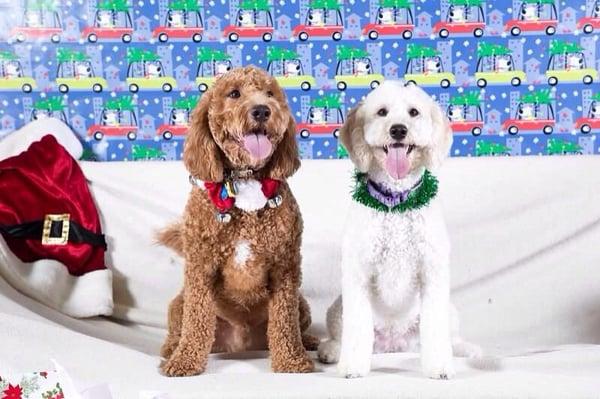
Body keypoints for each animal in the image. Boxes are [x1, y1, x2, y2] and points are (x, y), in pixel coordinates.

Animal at [158, 66, 318, 378]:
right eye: (234, 94)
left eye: (270, 94)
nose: (262, 110)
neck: (245, 180)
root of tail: (241, 345)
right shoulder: (201, 268)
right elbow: (196, 322)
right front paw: (185, 362)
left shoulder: (285, 267)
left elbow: (284, 322)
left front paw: (291, 362)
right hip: (178, 304)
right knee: (180, 327)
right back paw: (171, 349)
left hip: (303, 304)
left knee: (296, 323)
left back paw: (309, 341)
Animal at [316, 81, 480, 382]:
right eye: (382, 112)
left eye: (413, 112)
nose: (398, 130)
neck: (396, 202)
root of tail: (393, 344)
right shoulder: (358, 275)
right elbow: (356, 330)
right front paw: (352, 367)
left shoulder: (432, 273)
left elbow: (436, 331)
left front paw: (439, 367)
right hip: (337, 307)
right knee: (340, 336)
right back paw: (331, 351)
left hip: (449, 311)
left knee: (451, 338)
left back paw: (467, 349)